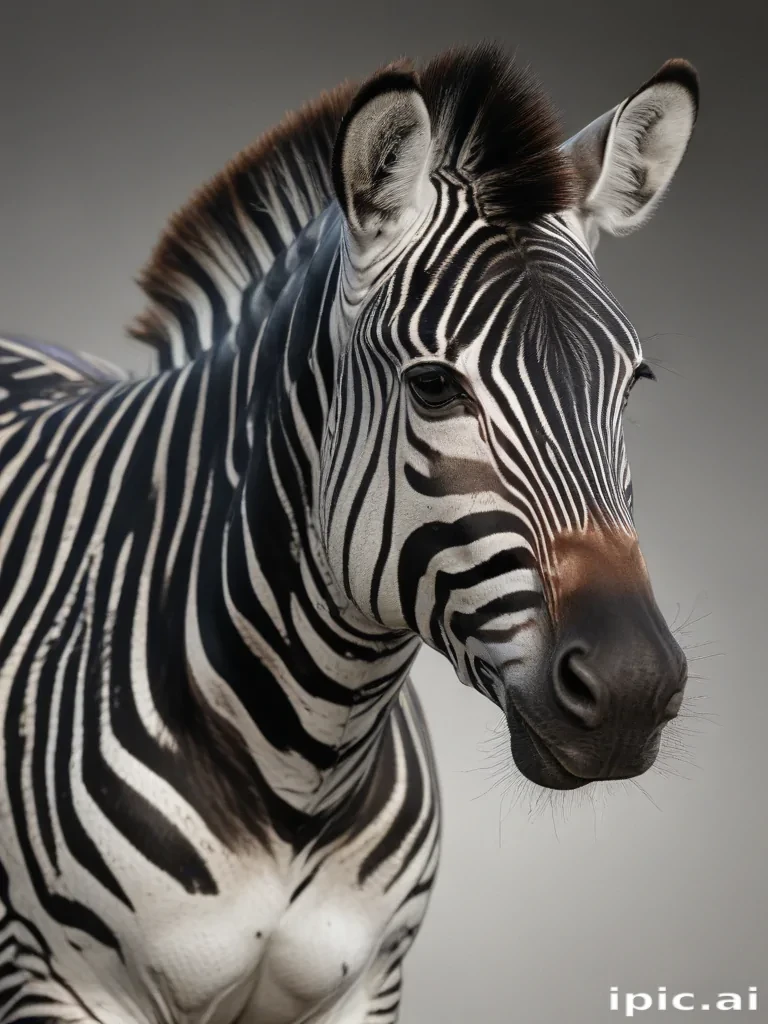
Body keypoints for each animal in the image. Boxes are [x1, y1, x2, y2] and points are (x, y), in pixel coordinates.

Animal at [0, 42, 698, 1024]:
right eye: (434, 387)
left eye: (631, 384)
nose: (634, 687)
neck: (305, 759)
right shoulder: (58, 981)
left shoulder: (368, 983)